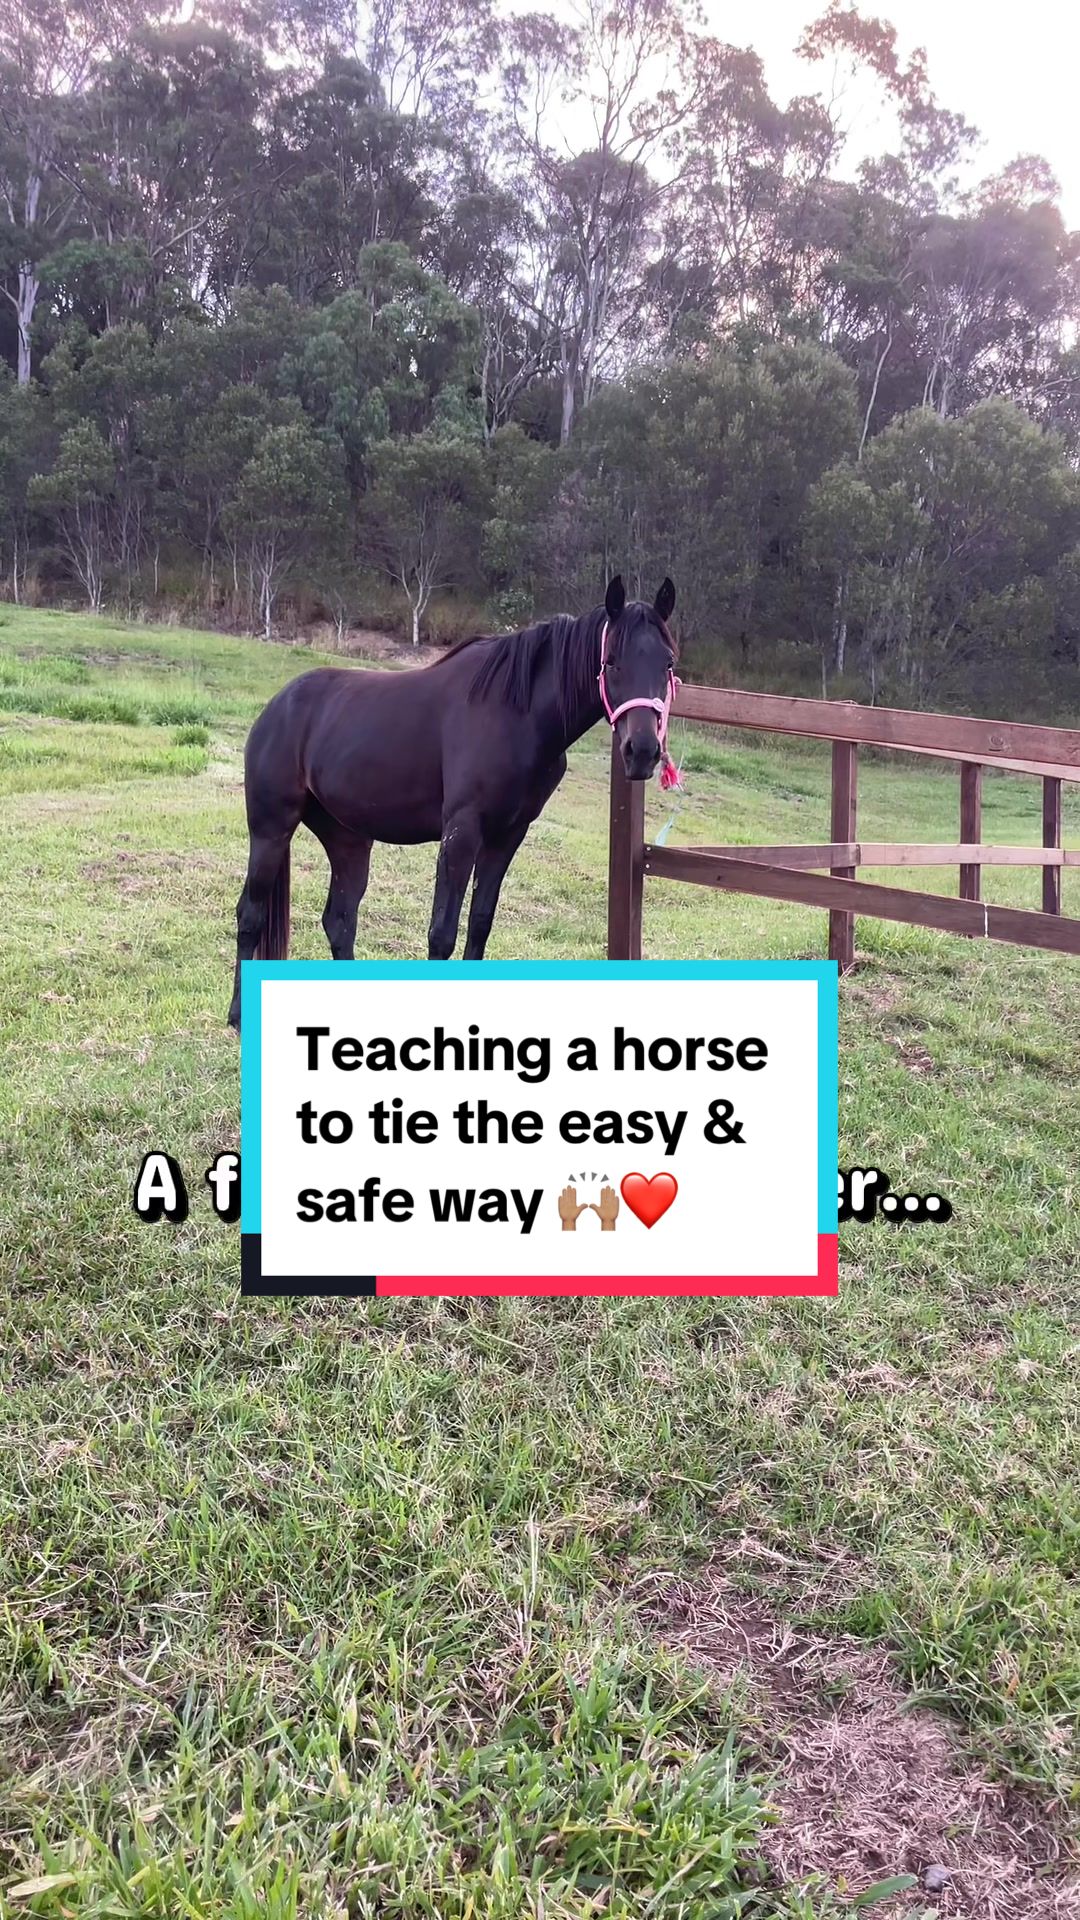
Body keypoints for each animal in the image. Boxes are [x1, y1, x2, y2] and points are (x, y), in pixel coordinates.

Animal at [227, 573, 679, 1028]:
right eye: (611, 662)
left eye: (668, 664)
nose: (642, 751)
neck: (516, 715)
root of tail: (277, 707)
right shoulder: (462, 832)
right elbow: (441, 934)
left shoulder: (507, 837)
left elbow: (479, 924)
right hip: (270, 830)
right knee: (250, 914)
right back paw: (237, 1015)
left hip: (348, 840)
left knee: (339, 921)